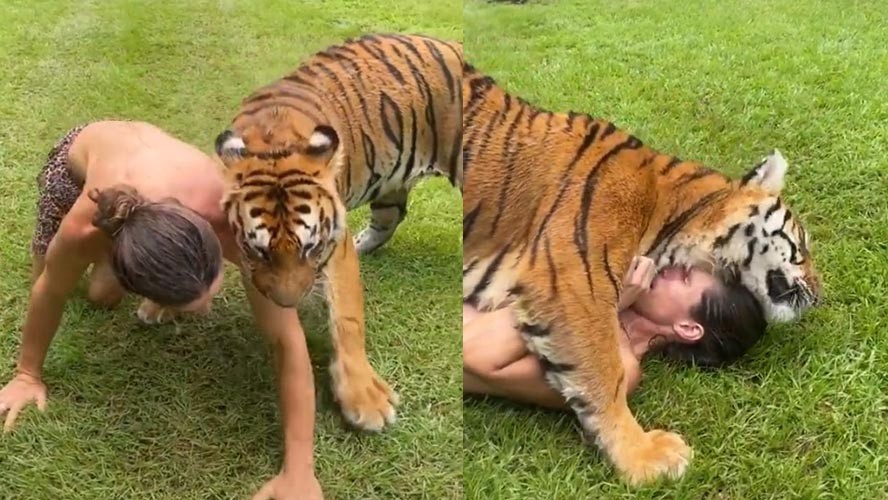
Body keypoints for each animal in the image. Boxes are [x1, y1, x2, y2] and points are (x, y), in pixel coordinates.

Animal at [213, 34, 463, 432]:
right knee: (390, 218)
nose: (290, 302)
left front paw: (364, 398)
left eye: (310, 247)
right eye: (260, 250)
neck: (273, 140)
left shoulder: (335, 245)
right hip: (389, 187)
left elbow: (347, 317)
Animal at [462, 62, 821, 485]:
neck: (672, 212)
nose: (819, 295)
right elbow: (604, 373)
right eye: (804, 247)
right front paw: (643, 455)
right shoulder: (572, 285)